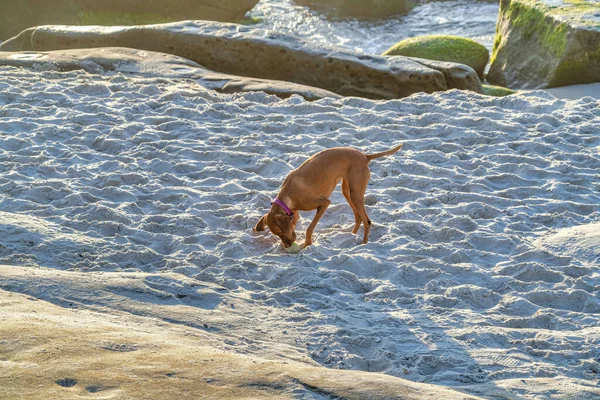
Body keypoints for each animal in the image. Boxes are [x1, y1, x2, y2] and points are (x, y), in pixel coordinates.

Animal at [253, 144, 404, 250]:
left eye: (280, 231)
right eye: (277, 234)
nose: (288, 246)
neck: (289, 195)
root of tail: (365, 156)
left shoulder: (324, 203)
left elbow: (309, 228)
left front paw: (307, 245)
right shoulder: (294, 213)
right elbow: (296, 222)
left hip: (355, 194)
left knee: (367, 221)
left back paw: (364, 244)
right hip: (348, 192)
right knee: (359, 217)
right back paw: (352, 235)